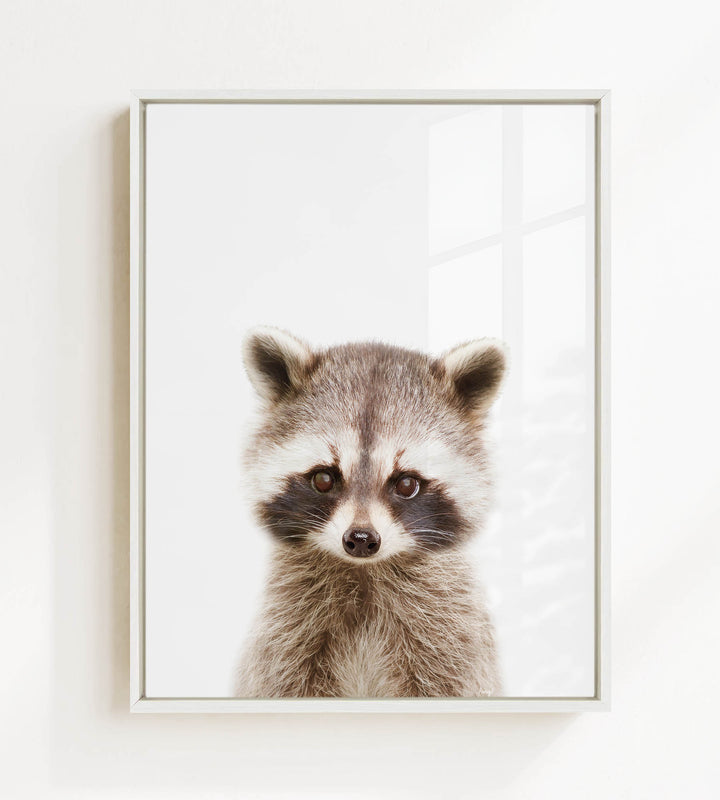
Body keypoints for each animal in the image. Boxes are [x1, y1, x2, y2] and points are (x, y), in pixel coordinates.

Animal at [234, 326, 507, 698]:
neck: (364, 573)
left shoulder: (452, 638)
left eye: (406, 484)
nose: (361, 539)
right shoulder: (284, 634)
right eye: (323, 479)